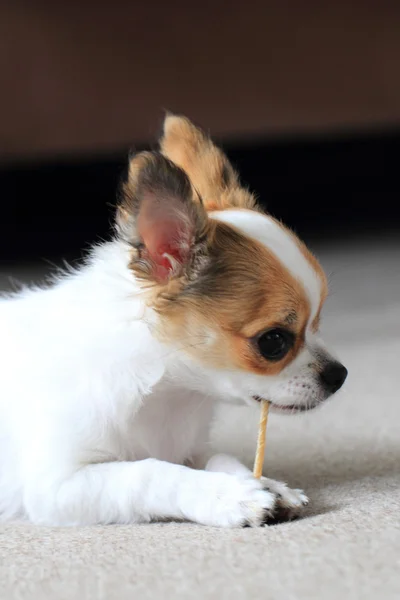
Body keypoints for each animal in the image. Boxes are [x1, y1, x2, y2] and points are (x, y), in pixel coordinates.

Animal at [0, 116, 346, 524]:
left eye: (318, 322)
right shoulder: (58, 487)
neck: (171, 394)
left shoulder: (191, 448)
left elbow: (220, 457)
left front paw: (263, 483)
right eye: (273, 341)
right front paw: (228, 496)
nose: (339, 374)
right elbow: (150, 473)